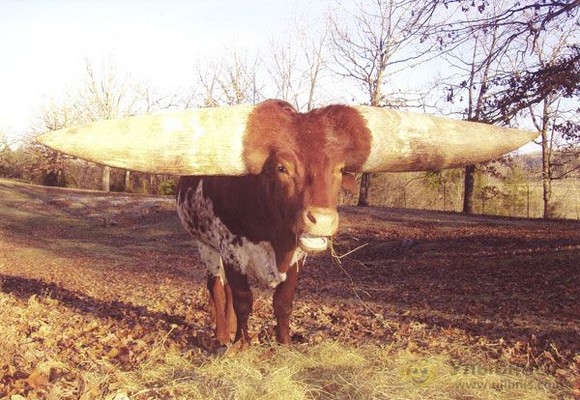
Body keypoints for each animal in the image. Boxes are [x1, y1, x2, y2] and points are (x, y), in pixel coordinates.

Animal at [36, 98, 536, 346]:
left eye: (342, 170)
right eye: (281, 168)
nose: (323, 220)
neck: (273, 233)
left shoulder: (297, 257)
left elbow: (283, 304)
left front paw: (283, 345)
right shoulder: (232, 248)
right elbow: (242, 301)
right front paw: (243, 345)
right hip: (202, 245)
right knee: (215, 289)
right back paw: (223, 337)